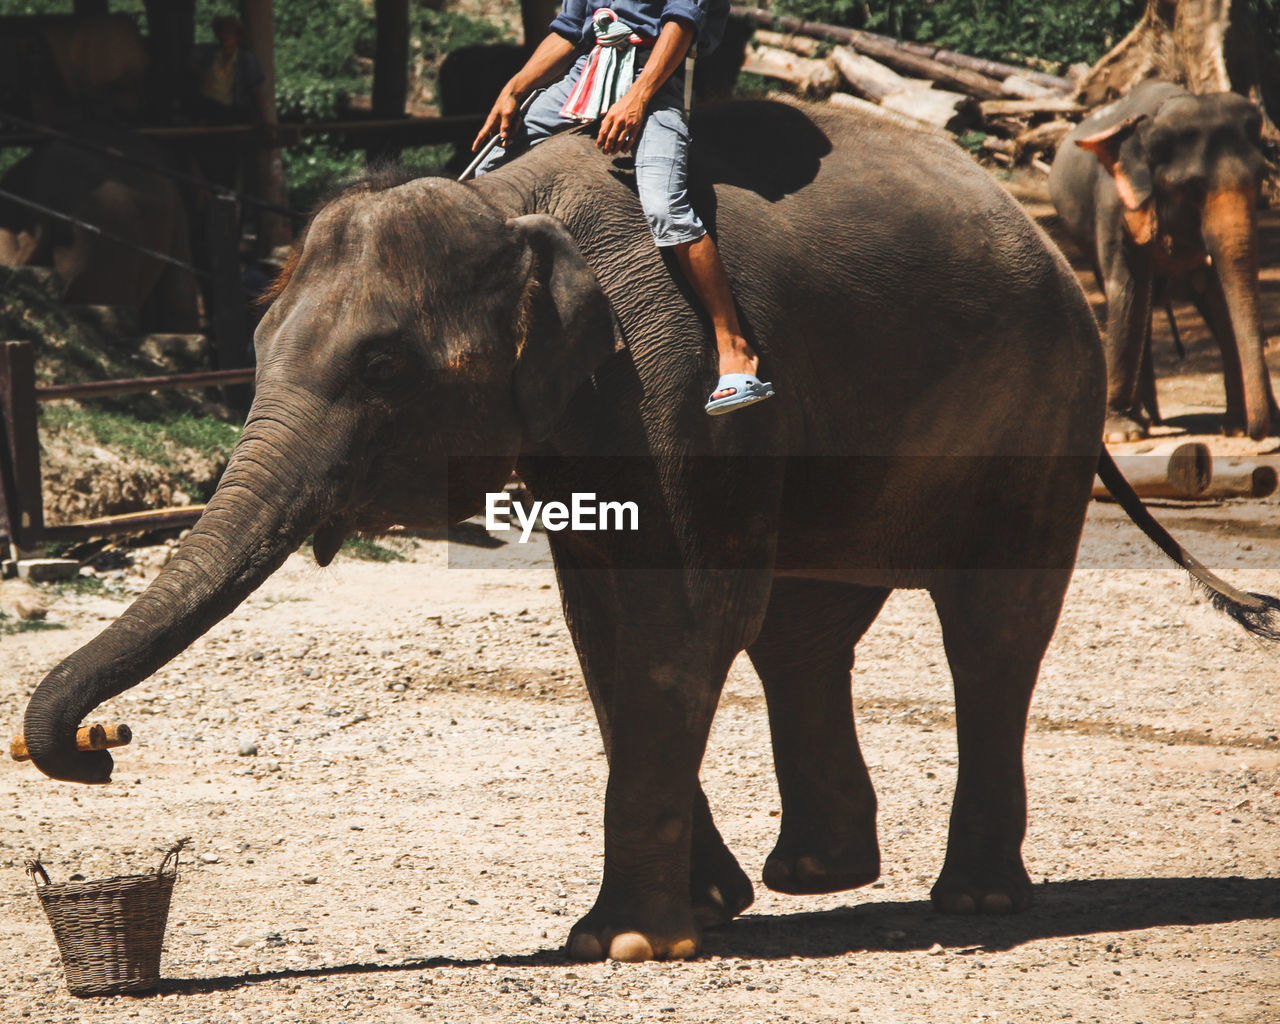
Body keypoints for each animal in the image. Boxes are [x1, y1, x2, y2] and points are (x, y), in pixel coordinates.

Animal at [1044, 81, 1274, 442]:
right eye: (1192, 188)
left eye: (1261, 176)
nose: (1254, 432)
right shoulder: (1115, 204)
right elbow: (1128, 289)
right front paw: (1122, 433)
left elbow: (1220, 297)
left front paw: (1237, 425)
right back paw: (1146, 419)